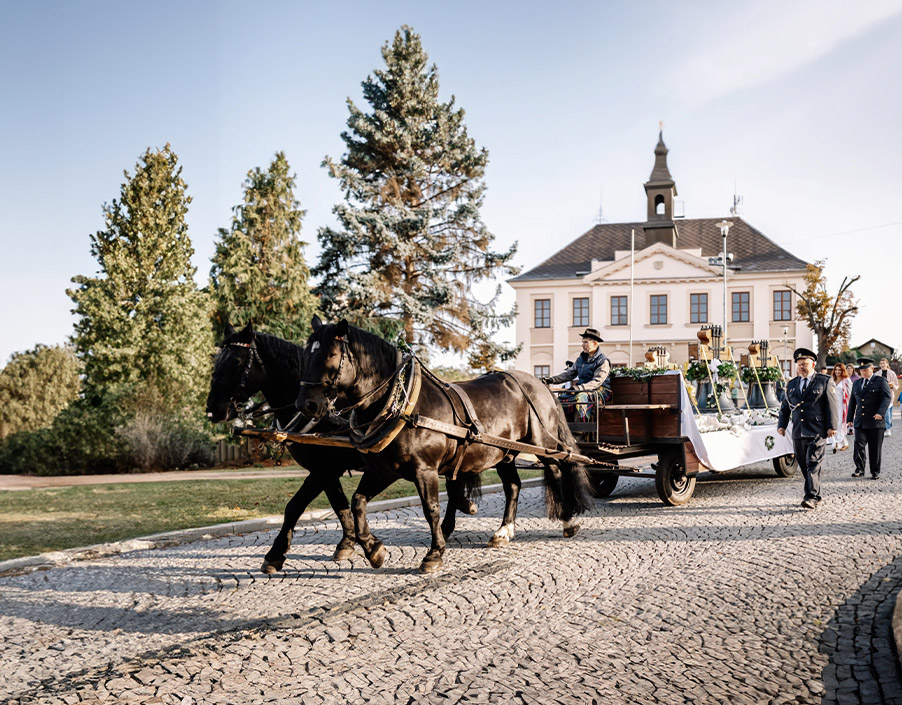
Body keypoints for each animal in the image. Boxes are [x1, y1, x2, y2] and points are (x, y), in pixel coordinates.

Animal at [206, 322, 480, 576]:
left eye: (236, 360)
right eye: (217, 360)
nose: (212, 410)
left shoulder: (325, 469)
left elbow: (295, 506)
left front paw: (276, 554)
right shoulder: (325, 471)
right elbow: (340, 504)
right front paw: (350, 543)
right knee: (455, 480)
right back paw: (460, 510)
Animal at [294, 316, 596, 576]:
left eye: (330, 355)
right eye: (306, 355)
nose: (306, 404)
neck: (403, 404)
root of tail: (540, 383)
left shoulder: (424, 470)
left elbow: (431, 509)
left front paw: (434, 553)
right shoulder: (384, 470)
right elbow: (357, 502)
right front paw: (374, 550)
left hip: (541, 443)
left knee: (555, 471)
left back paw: (568, 520)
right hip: (503, 452)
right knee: (512, 485)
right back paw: (503, 531)